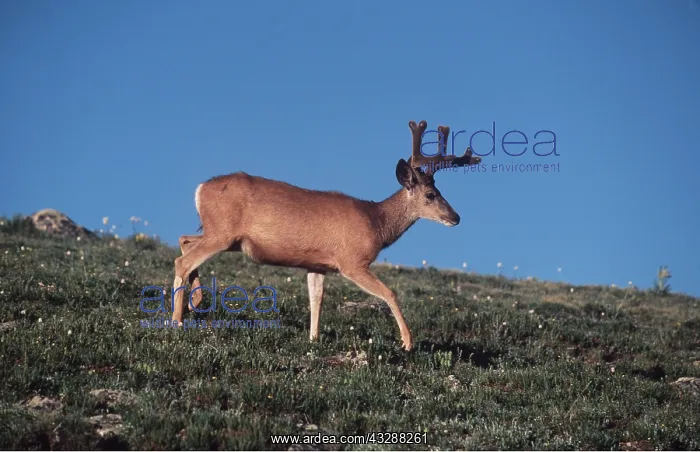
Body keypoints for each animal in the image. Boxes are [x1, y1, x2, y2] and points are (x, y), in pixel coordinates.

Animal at [171, 120, 482, 351]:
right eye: (431, 195)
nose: (455, 217)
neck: (376, 221)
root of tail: (200, 189)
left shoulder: (317, 264)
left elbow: (316, 299)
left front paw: (313, 339)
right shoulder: (352, 261)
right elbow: (389, 293)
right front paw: (408, 342)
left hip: (228, 238)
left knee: (185, 241)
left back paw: (195, 301)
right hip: (222, 232)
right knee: (182, 261)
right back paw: (177, 321)